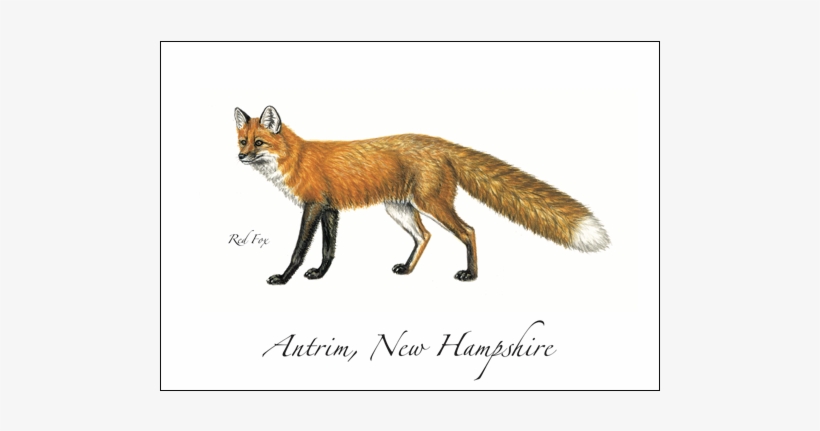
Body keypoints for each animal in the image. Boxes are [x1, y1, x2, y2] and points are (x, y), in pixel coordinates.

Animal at [234, 105, 609, 285]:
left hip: (431, 204)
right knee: (425, 236)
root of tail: (441, 143)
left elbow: (299, 250)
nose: (240, 157)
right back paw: (408, 269)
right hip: (400, 209)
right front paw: (320, 275)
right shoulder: (331, 209)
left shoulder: (313, 206)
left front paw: (284, 278)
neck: (296, 158)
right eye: (242, 141)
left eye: (259, 143)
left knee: (469, 231)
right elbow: (328, 251)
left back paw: (471, 275)